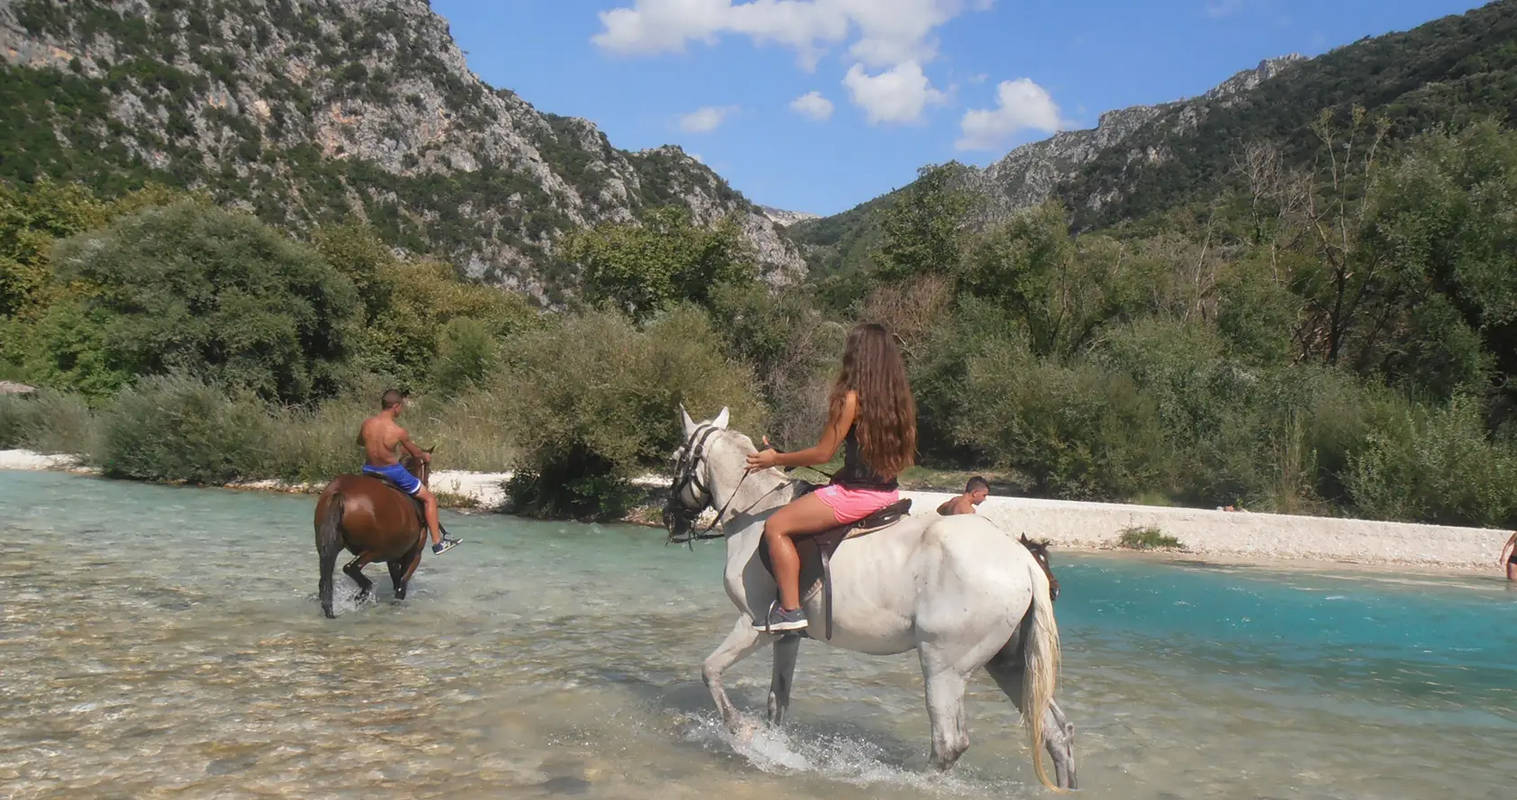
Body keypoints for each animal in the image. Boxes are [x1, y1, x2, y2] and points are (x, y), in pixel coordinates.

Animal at [314, 449, 433, 619]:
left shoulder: (393, 558)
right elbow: (401, 585)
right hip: (375, 550)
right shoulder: (414, 554)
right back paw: (363, 593)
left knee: (325, 580)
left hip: (329, 546)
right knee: (350, 567)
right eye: (429, 470)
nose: (426, 484)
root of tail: (340, 493)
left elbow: (397, 582)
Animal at [667, 409, 1080, 789]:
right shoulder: (786, 637)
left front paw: (740, 730)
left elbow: (710, 670)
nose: (671, 518)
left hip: (943, 666)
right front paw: (773, 745)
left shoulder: (754, 625)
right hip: (1009, 664)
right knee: (1056, 731)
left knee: (949, 743)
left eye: (675, 459)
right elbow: (777, 700)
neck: (753, 515)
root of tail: (1022, 560)